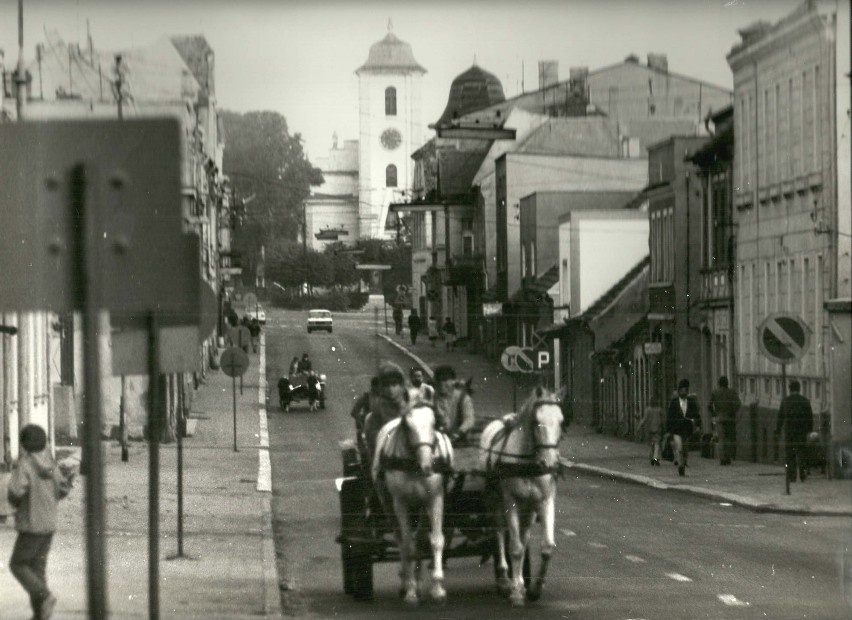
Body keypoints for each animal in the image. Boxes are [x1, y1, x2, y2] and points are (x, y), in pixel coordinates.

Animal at [372, 402, 452, 604]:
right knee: (401, 538)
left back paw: (418, 579)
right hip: (386, 502)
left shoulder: (435, 498)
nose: (427, 466)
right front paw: (410, 590)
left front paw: (437, 587)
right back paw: (406, 580)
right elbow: (407, 543)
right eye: (407, 426)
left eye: (434, 423)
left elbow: (435, 540)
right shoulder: (400, 503)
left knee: (420, 539)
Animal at [480, 386, 564, 608]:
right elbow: (515, 548)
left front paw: (534, 589)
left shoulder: (545, 501)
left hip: (529, 509)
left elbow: (546, 547)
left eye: (561, 421)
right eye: (536, 421)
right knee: (499, 533)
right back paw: (505, 581)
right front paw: (516, 592)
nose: (550, 464)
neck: (528, 462)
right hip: (495, 501)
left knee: (524, 536)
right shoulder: (511, 502)